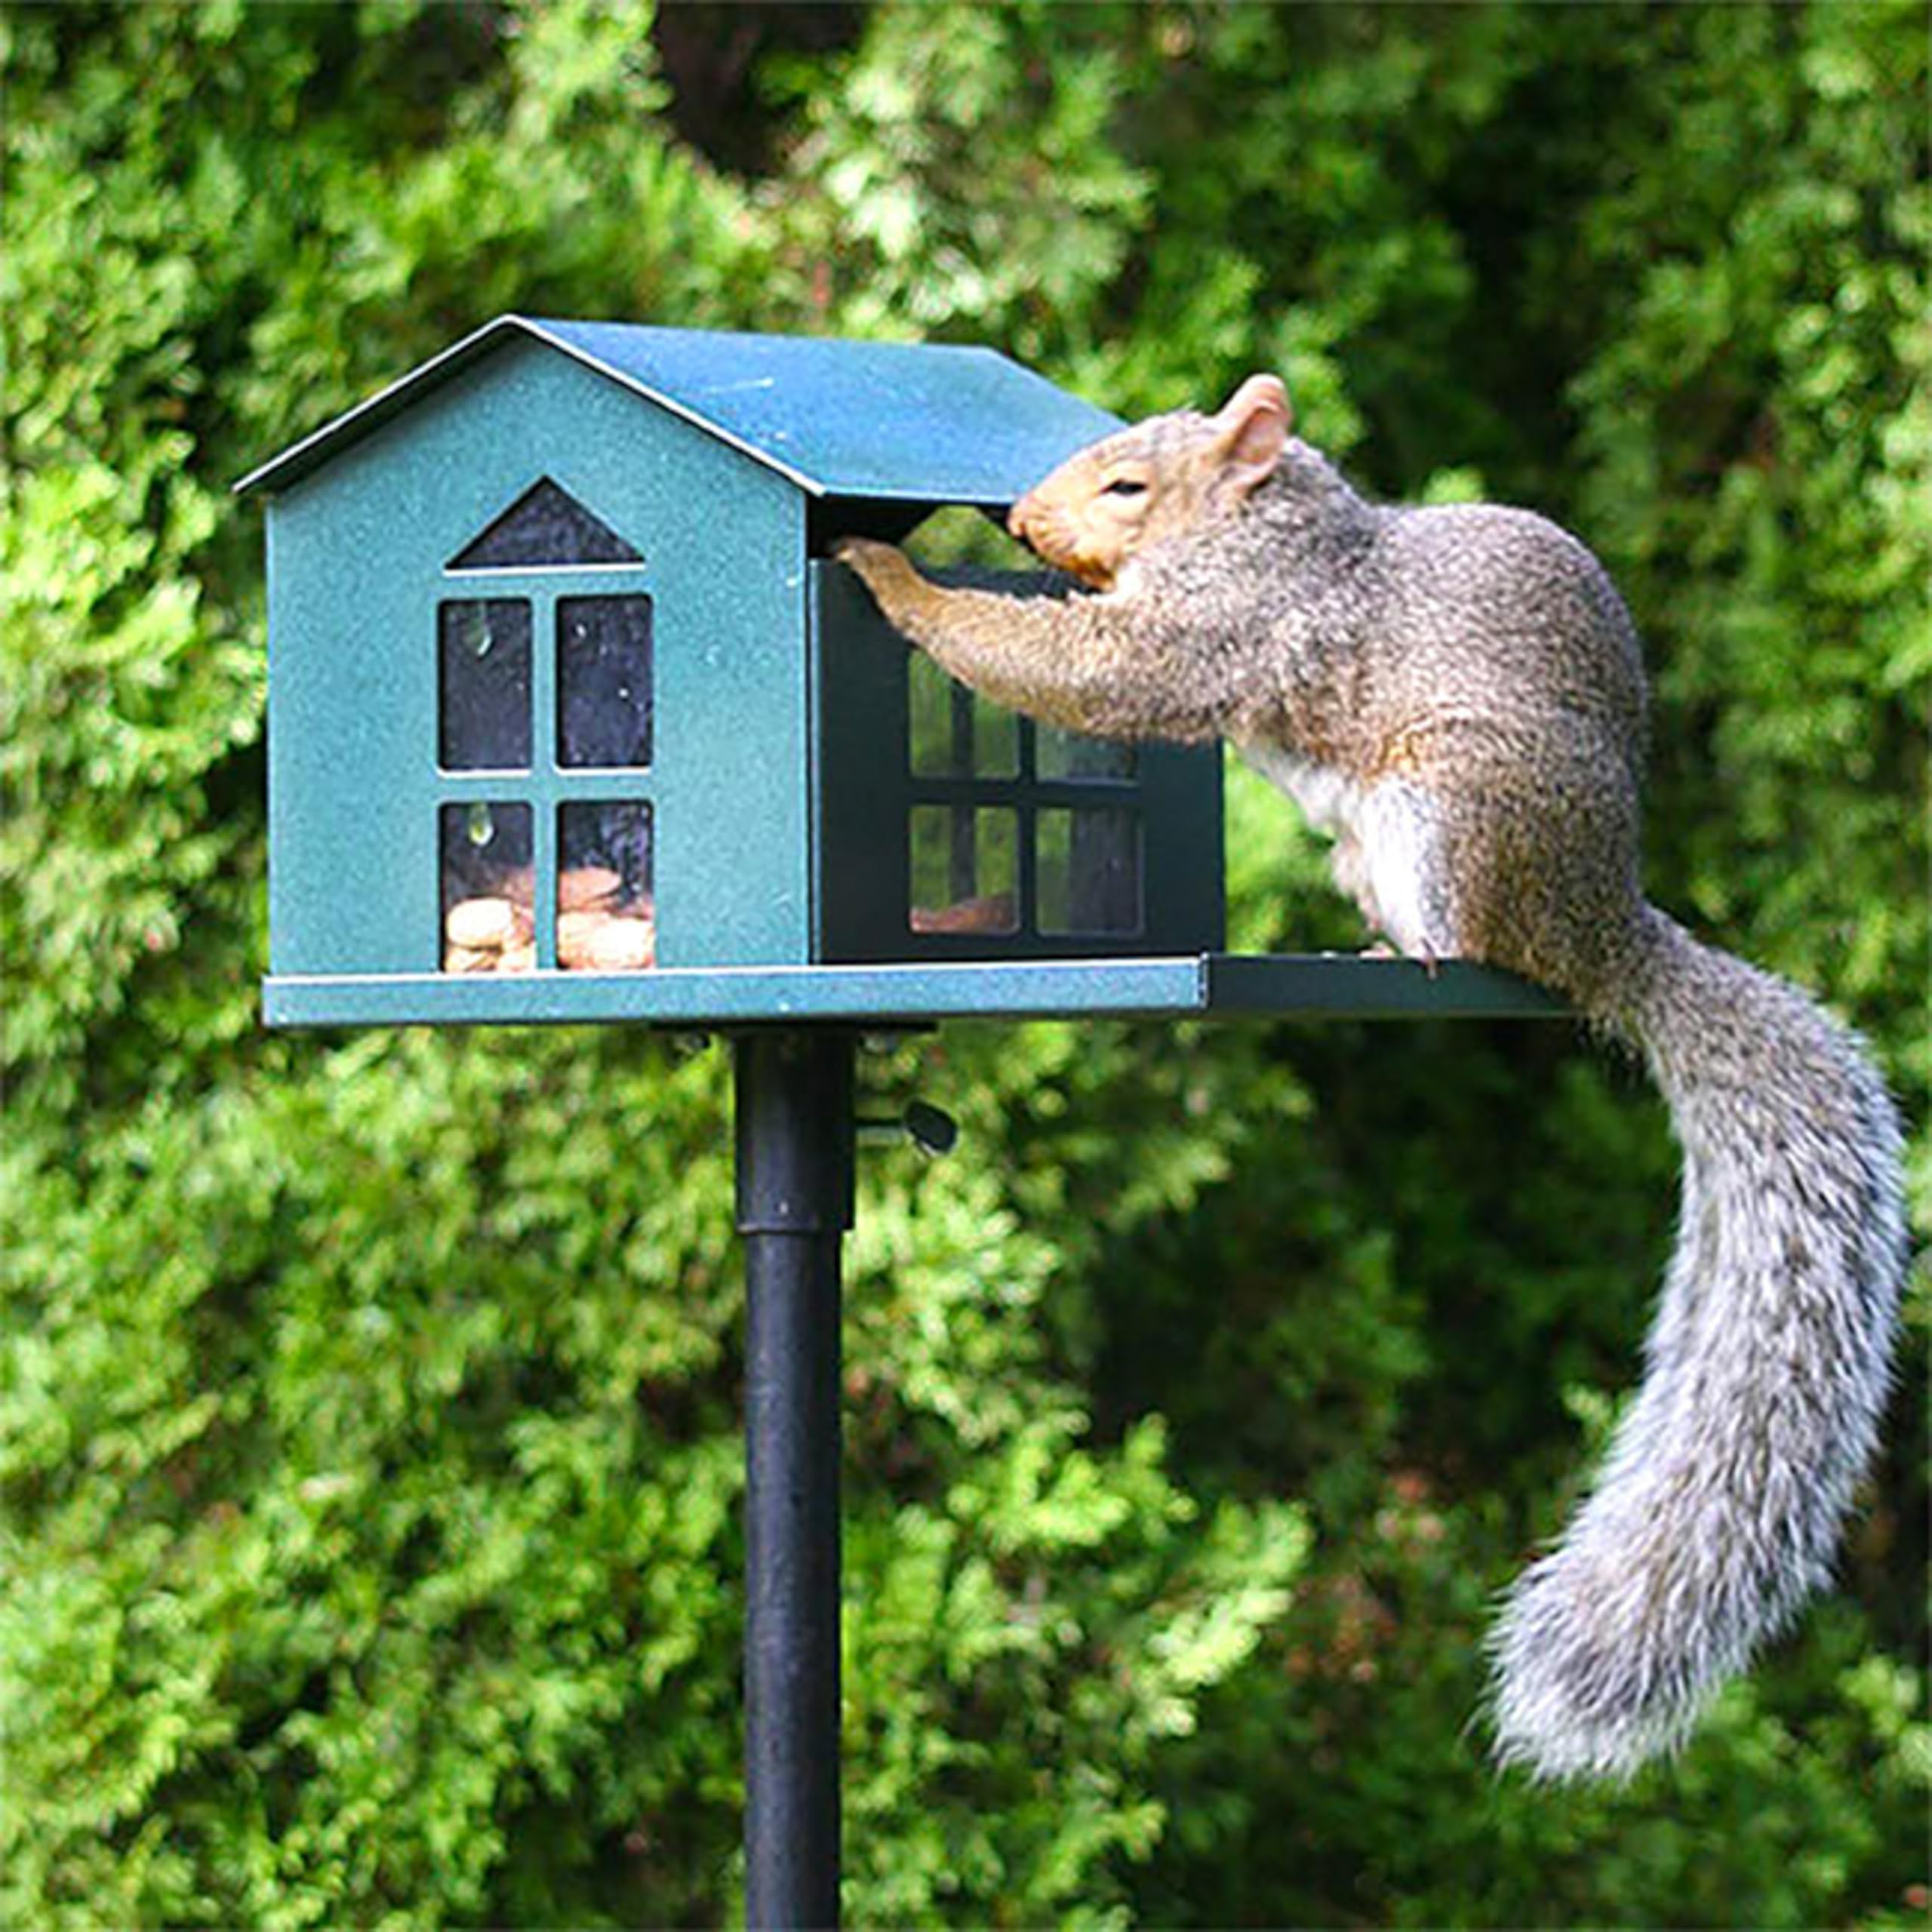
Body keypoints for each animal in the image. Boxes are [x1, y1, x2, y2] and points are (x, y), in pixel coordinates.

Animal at [834, 374, 1907, 1783]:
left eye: (1129, 485)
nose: (1016, 521)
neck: (1270, 526)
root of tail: (1607, 931)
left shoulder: (1233, 623)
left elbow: (1100, 672)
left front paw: (891, 576)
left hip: (1450, 815)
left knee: (1485, 945)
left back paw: (1426, 952)